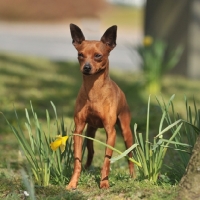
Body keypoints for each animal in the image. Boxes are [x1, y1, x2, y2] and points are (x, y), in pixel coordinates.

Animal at [67, 23, 136, 189]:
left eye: (98, 55)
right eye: (80, 55)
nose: (86, 67)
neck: (94, 92)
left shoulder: (111, 132)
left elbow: (107, 160)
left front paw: (104, 183)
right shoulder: (78, 130)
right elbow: (77, 160)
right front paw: (73, 182)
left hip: (126, 132)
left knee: (130, 155)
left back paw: (133, 175)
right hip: (90, 132)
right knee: (91, 151)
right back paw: (86, 169)